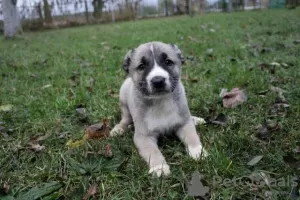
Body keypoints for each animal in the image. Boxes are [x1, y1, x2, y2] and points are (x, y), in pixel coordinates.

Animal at [111, 41, 207, 176]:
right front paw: (159, 167)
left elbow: (192, 136)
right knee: (125, 119)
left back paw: (195, 119)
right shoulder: (143, 137)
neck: (161, 101)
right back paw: (119, 129)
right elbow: (153, 151)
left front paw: (198, 151)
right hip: (124, 101)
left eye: (168, 61)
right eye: (141, 66)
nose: (158, 81)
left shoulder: (183, 124)